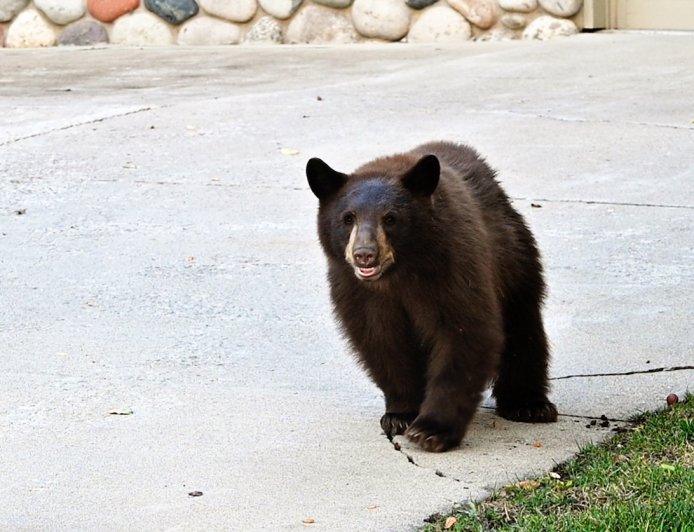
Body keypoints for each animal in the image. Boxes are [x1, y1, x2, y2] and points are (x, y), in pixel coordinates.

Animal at [306, 141, 557, 452]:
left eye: (390, 218)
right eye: (347, 218)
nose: (365, 254)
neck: (397, 277)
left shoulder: (452, 267)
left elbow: (464, 333)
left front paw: (432, 430)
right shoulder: (356, 290)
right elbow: (381, 341)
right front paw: (400, 415)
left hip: (514, 260)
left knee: (524, 328)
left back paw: (529, 405)